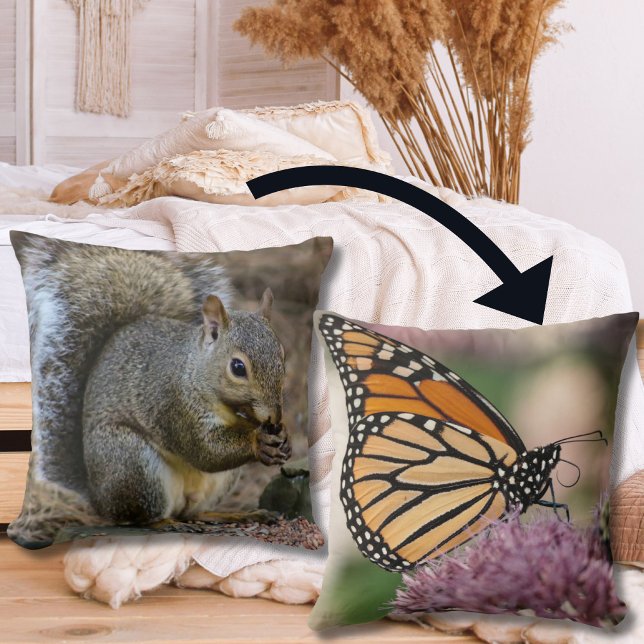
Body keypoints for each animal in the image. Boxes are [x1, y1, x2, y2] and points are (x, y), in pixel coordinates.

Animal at [8, 231, 290, 547]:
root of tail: (97, 497)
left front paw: (282, 440)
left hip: (217, 482)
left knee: (194, 511)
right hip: (133, 464)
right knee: (140, 517)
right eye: (238, 367)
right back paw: (165, 523)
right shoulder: (174, 403)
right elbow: (204, 449)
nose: (274, 417)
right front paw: (258, 441)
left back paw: (232, 514)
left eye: (281, 354)